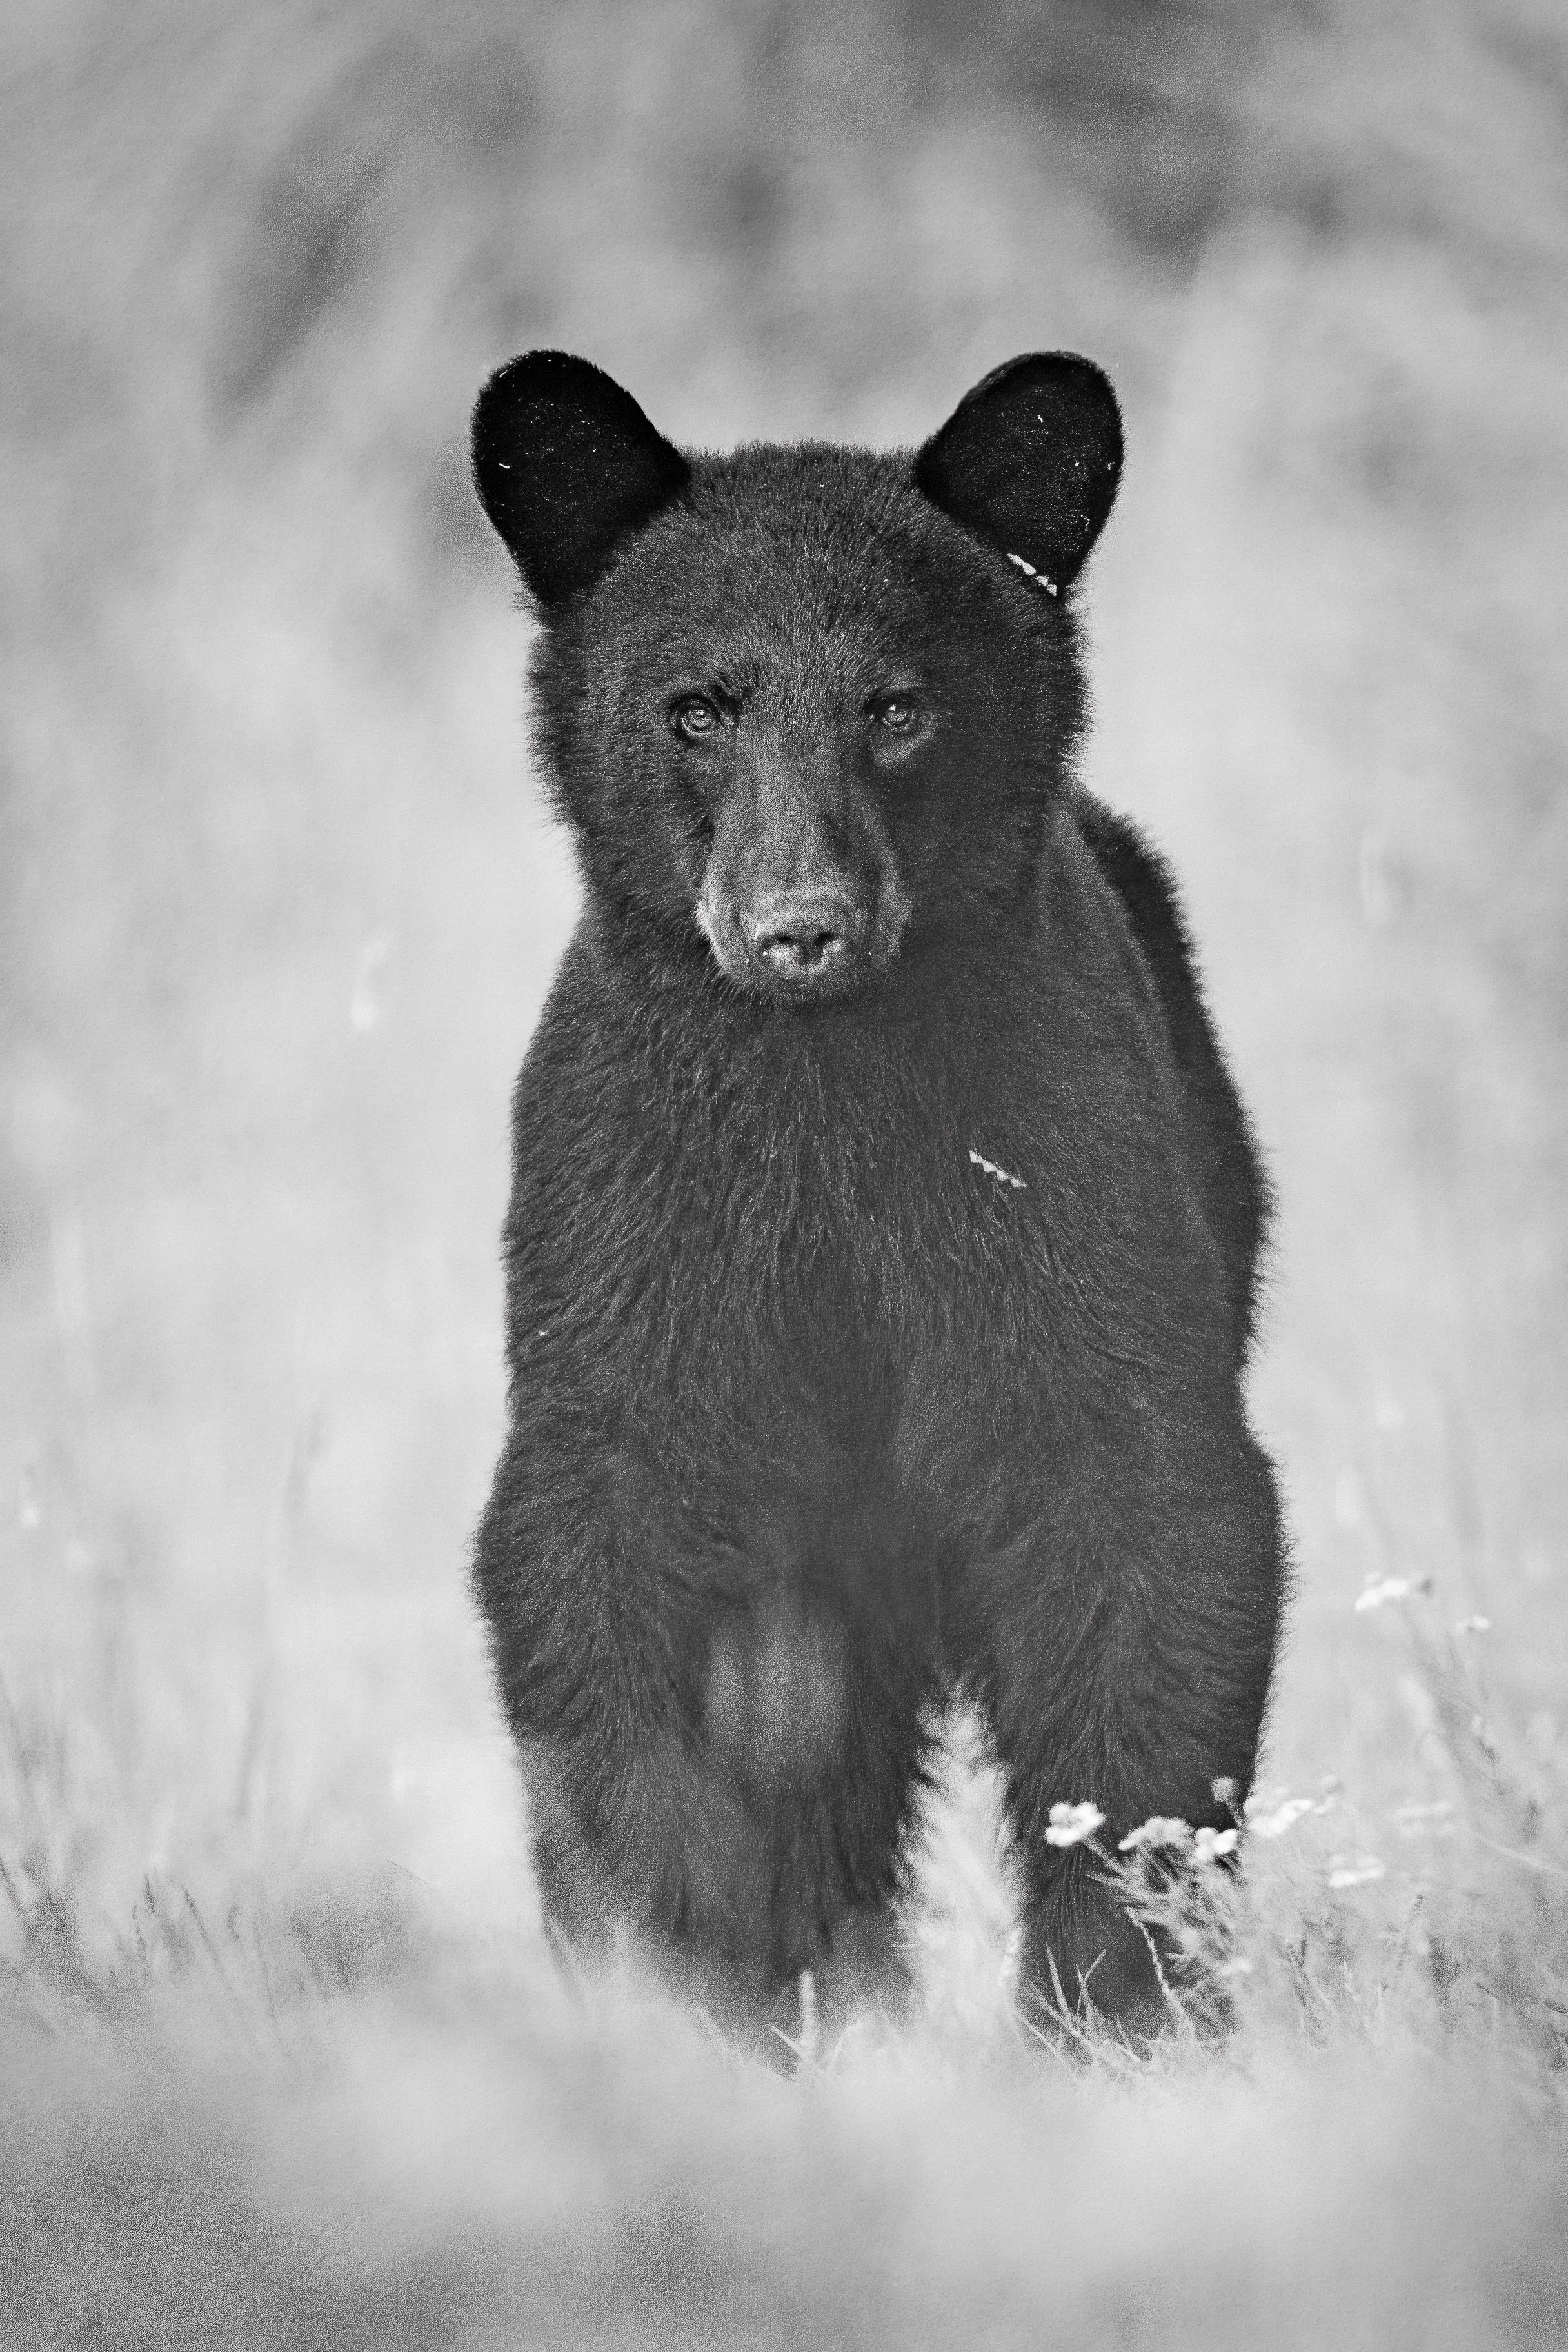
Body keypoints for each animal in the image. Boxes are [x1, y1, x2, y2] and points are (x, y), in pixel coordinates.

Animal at [469, 348, 1283, 2050]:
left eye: (896, 705)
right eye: (696, 707)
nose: (802, 925)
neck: (828, 1084)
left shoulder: (1055, 1164)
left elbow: (1144, 1518)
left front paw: (1115, 2012)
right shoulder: (639, 1215)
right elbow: (613, 1556)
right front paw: (681, 1979)